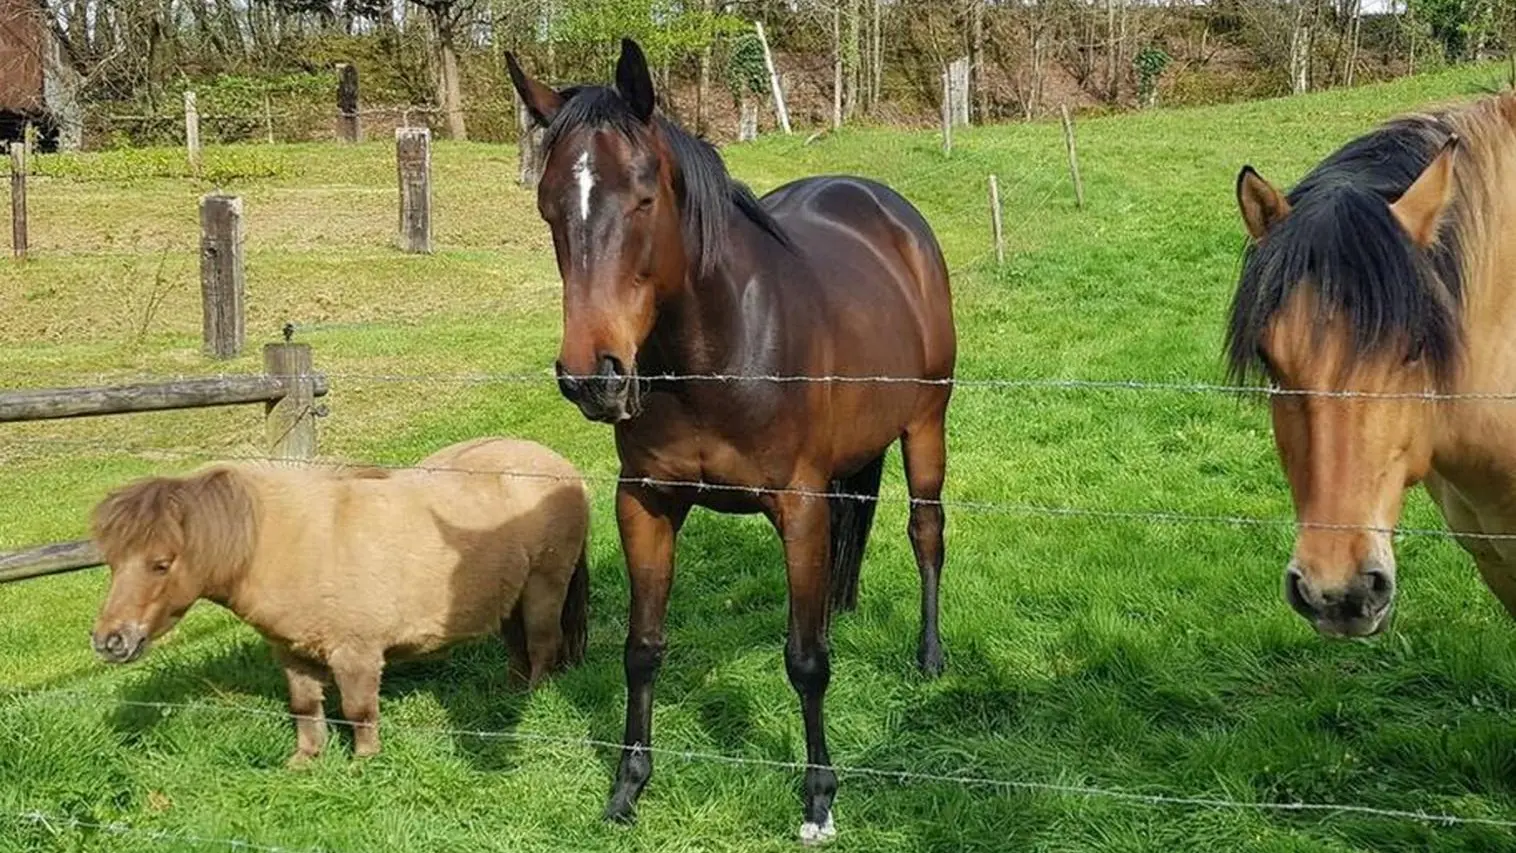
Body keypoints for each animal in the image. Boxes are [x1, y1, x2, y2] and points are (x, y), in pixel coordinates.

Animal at [86, 439, 588, 766]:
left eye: (161, 563)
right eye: (112, 561)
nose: (110, 641)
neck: (291, 542)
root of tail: (564, 470)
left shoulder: (356, 654)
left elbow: (358, 711)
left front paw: (364, 763)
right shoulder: (292, 654)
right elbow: (305, 708)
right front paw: (306, 760)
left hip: (545, 585)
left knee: (543, 645)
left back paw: (534, 699)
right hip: (510, 596)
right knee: (519, 649)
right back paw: (509, 698)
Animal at [509, 38, 958, 842]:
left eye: (644, 198)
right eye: (550, 206)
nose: (593, 376)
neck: (715, 352)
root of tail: (888, 210)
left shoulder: (799, 507)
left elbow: (805, 660)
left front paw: (818, 798)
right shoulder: (646, 503)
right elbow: (642, 649)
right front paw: (627, 788)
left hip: (925, 425)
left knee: (925, 531)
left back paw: (929, 654)